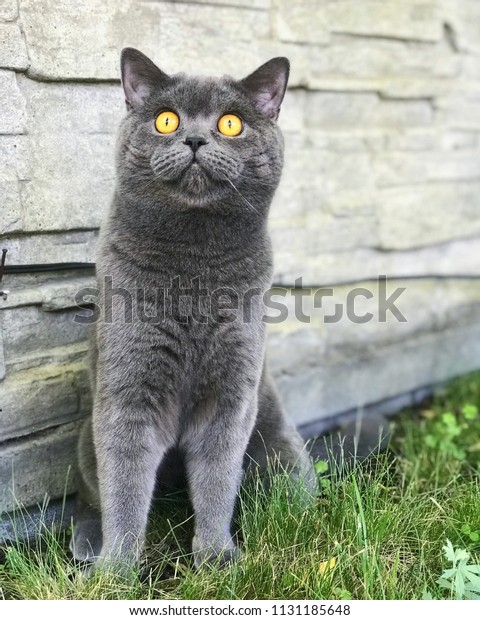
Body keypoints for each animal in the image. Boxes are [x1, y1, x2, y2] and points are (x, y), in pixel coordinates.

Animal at [70, 48, 318, 572]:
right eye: (166, 120)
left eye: (230, 123)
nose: (196, 138)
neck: (194, 263)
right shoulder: (127, 391)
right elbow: (124, 487)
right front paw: (115, 572)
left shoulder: (232, 394)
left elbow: (217, 479)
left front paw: (216, 559)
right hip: (85, 437)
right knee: (92, 496)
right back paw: (87, 544)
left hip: (282, 449)